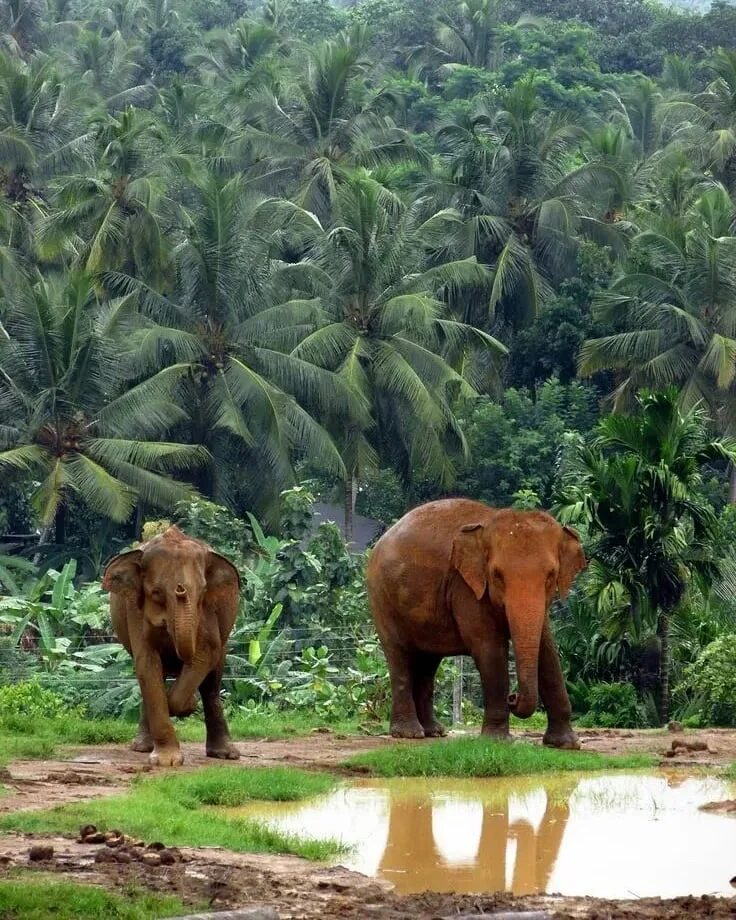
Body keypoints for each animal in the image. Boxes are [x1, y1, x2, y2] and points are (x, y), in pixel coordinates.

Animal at [102, 524, 240, 768]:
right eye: (156, 593)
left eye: (203, 592)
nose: (180, 589)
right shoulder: (134, 609)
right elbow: (147, 663)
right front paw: (166, 761)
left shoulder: (209, 611)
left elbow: (206, 651)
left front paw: (185, 704)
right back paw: (141, 747)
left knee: (212, 684)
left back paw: (225, 754)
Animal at [368, 504, 588, 748]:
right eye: (497, 575)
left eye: (551, 576)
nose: (513, 697)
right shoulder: (466, 588)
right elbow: (489, 648)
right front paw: (497, 741)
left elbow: (547, 651)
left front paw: (566, 744)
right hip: (381, 599)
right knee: (399, 654)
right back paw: (410, 733)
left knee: (428, 662)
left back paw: (434, 732)